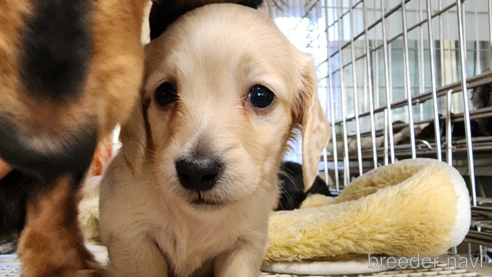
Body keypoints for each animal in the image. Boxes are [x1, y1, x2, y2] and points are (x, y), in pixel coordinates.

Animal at [99, 3, 330, 274]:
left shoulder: (245, 244)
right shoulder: (130, 234)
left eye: (261, 96)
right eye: (164, 93)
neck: (197, 220)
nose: (197, 171)